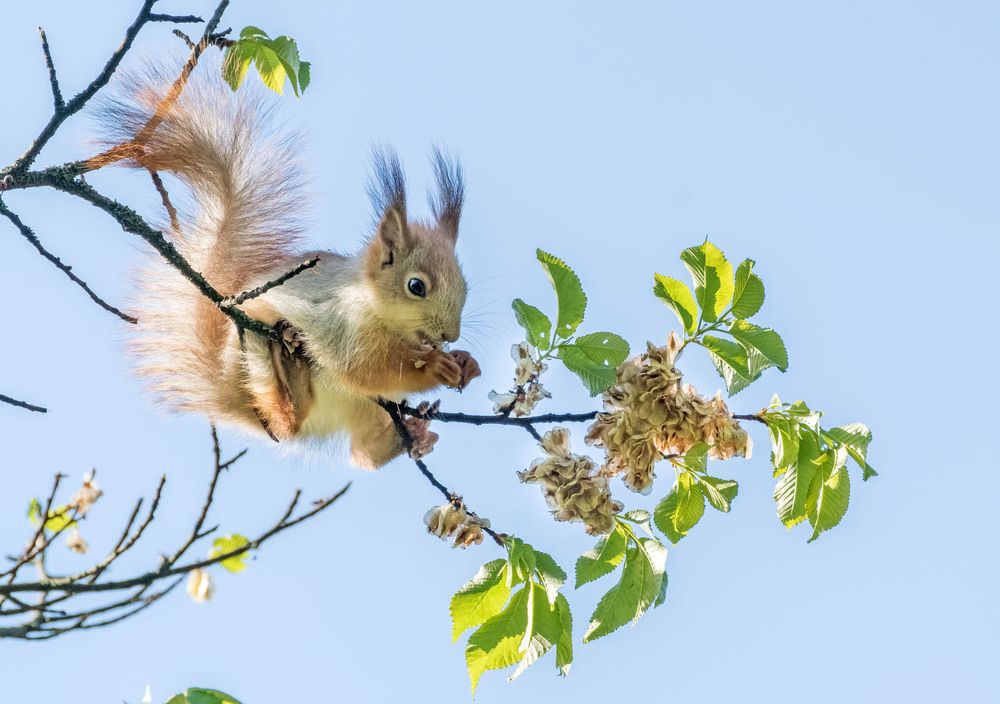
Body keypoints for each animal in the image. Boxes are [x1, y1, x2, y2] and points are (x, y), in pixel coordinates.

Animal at [96, 67, 481, 468]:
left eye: (465, 286)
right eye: (416, 286)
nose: (450, 335)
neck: (385, 320)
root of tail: (229, 397)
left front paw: (466, 362)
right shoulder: (340, 325)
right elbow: (366, 369)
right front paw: (435, 367)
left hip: (369, 410)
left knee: (364, 454)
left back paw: (410, 436)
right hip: (252, 349)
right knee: (286, 424)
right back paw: (290, 381)